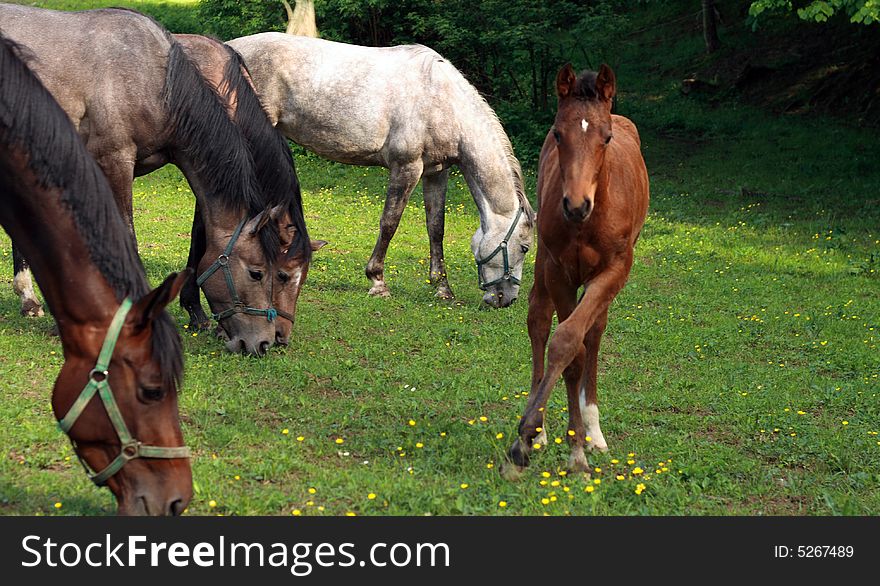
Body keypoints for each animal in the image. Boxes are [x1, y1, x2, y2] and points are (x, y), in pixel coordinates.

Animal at [227, 32, 532, 306]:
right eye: (525, 247)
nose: (507, 300)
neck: (441, 99)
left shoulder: (436, 172)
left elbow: (436, 227)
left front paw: (442, 288)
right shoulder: (406, 168)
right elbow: (389, 223)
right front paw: (377, 281)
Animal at [498, 64, 648, 476]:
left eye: (606, 138)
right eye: (557, 134)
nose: (576, 205)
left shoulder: (614, 271)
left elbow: (576, 341)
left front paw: (579, 447)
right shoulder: (559, 272)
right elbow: (565, 347)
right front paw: (531, 437)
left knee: (594, 333)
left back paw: (594, 433)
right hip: (542, 266)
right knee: (538, 321)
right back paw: (545, 429)